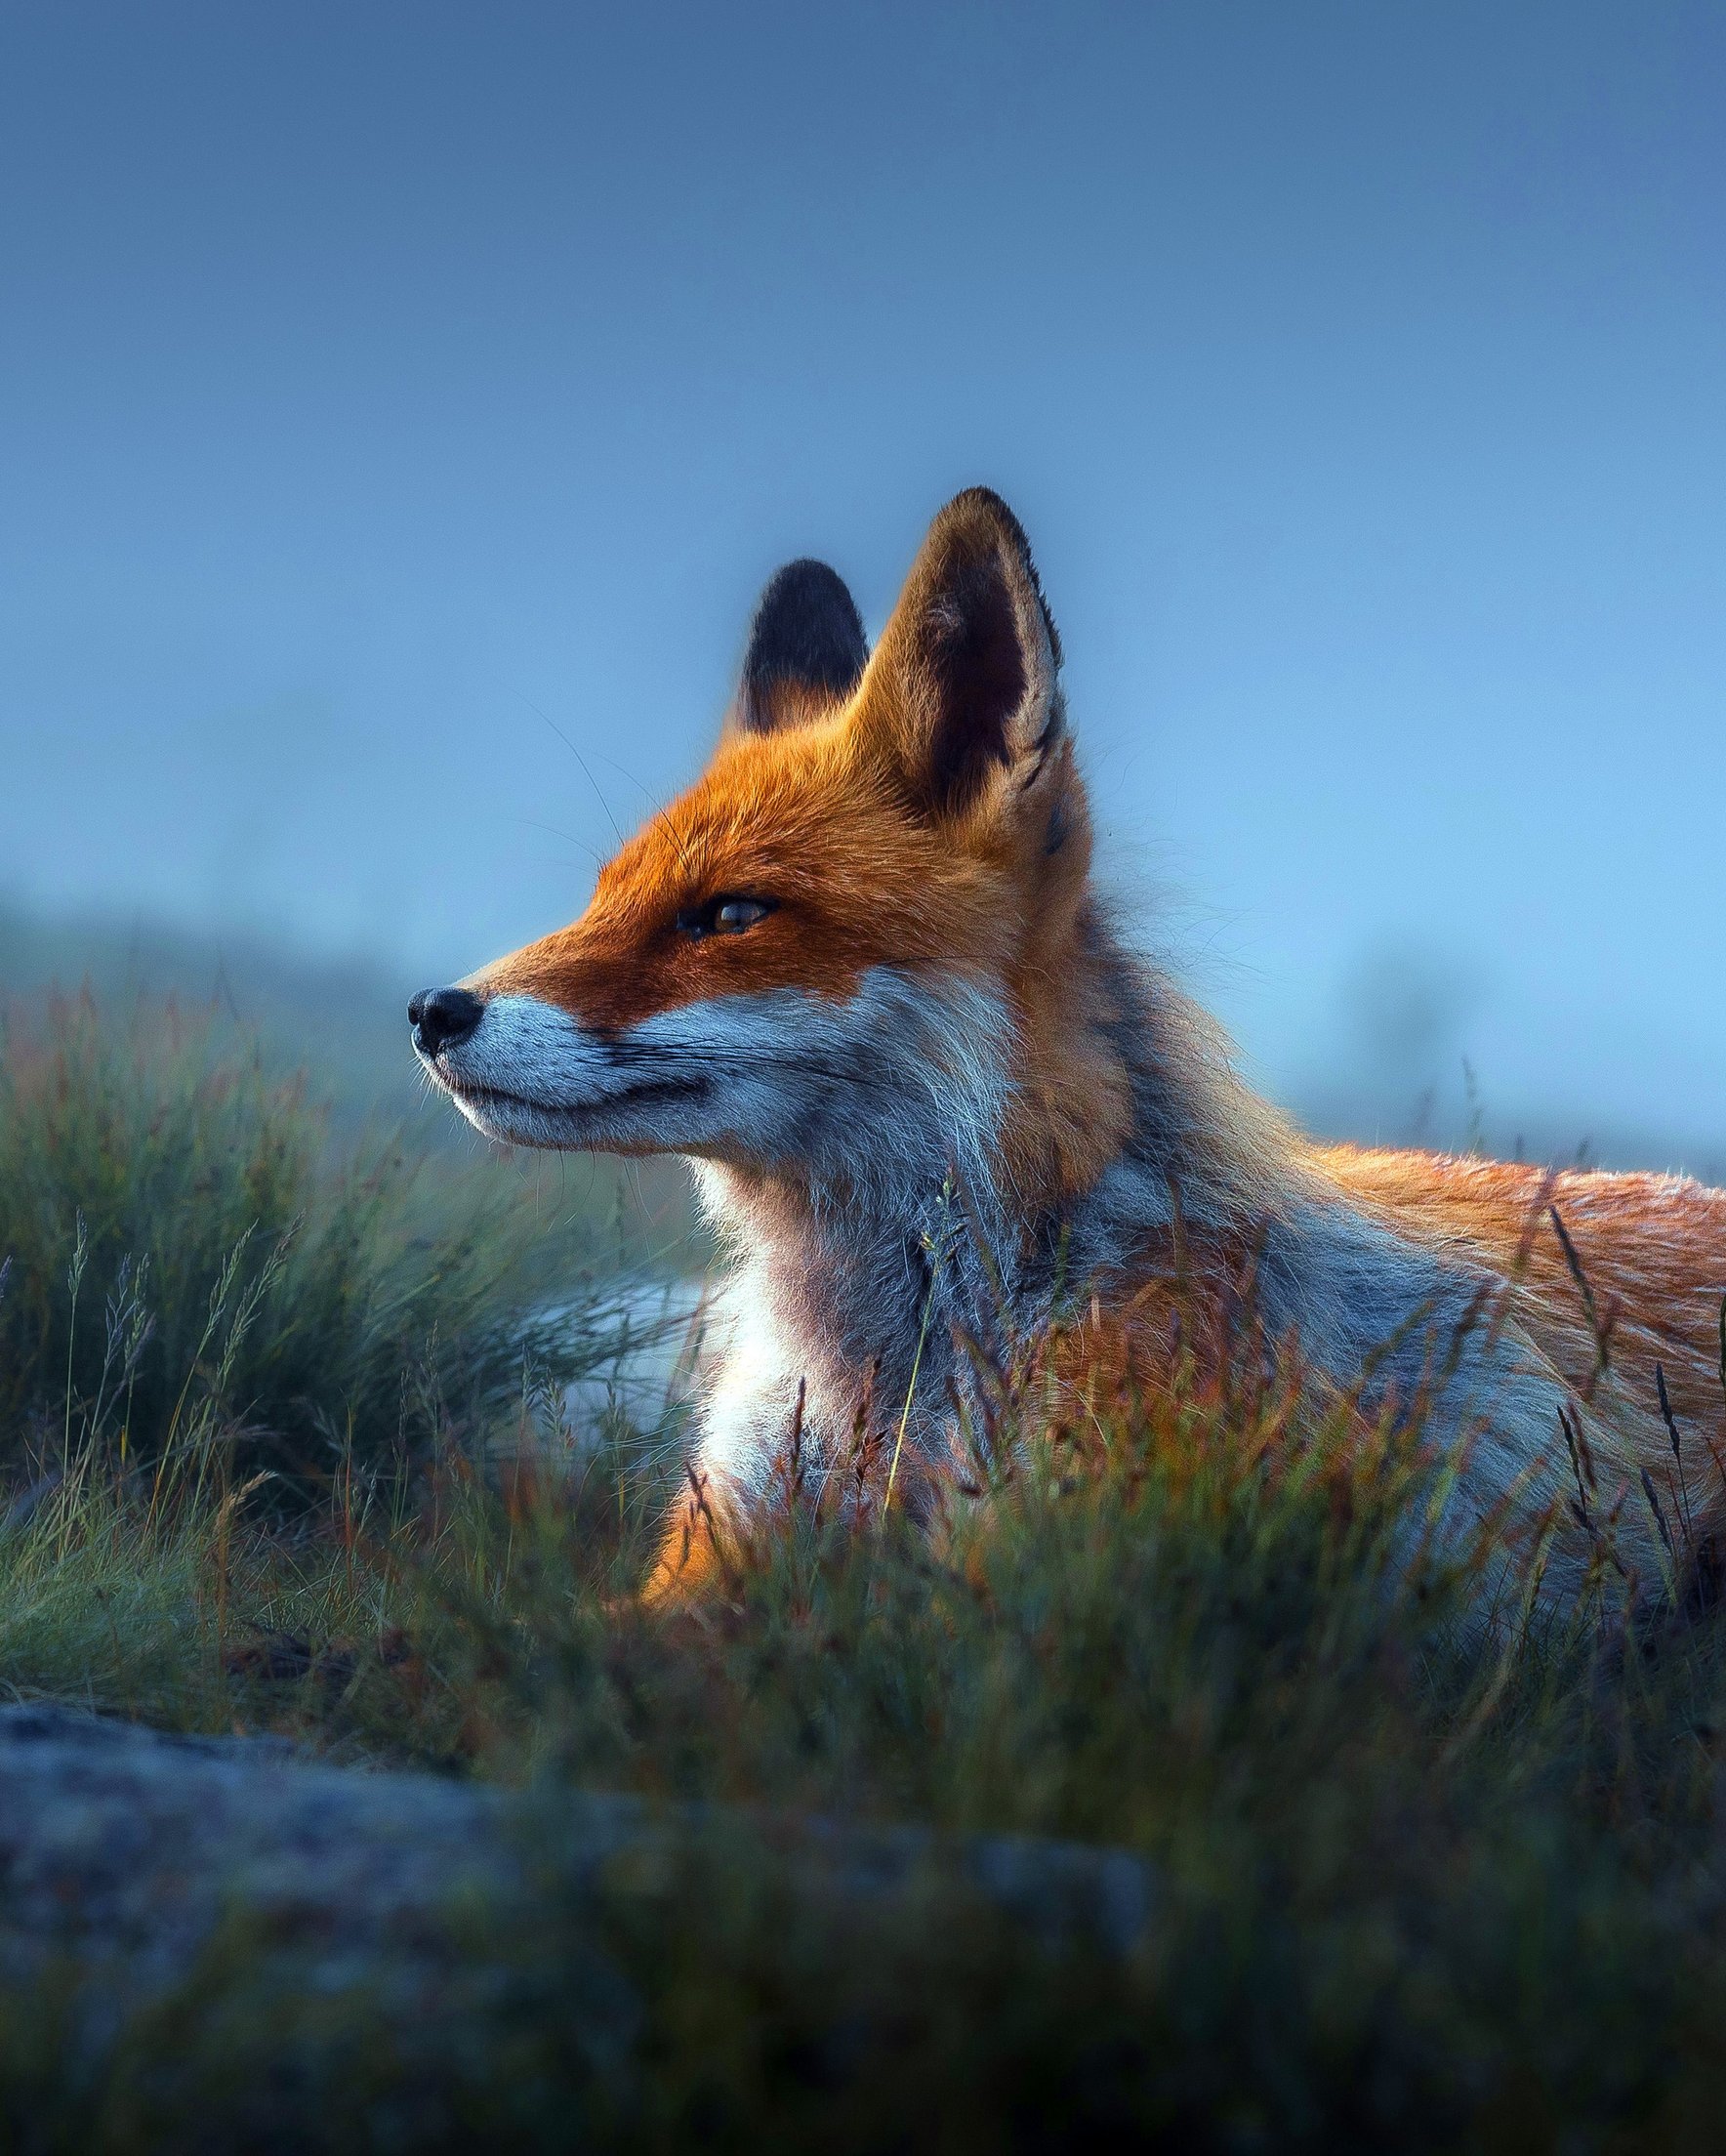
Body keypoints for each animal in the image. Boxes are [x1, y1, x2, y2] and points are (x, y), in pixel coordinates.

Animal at [411, 487, 1726, 1611]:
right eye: (600, 898)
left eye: (729, 915)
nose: (432, 1012)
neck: (894, 1386)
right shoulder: (715, 1552)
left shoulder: (1051, 1587)